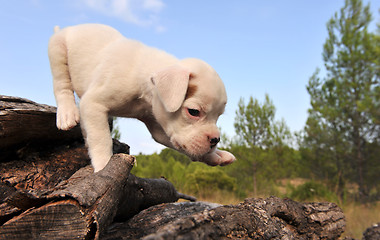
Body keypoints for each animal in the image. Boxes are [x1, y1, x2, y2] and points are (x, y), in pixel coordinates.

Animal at [49, 23, 236, 172]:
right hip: (57, 51)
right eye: (193, 111)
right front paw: (104, 165)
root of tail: (69, 28)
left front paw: (215, 155)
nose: (216, 139)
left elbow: (183, 146)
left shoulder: (159, 128)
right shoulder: (93, 103)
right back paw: (67, 114)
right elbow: (102, 138)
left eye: (218, 116)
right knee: (62, 85)